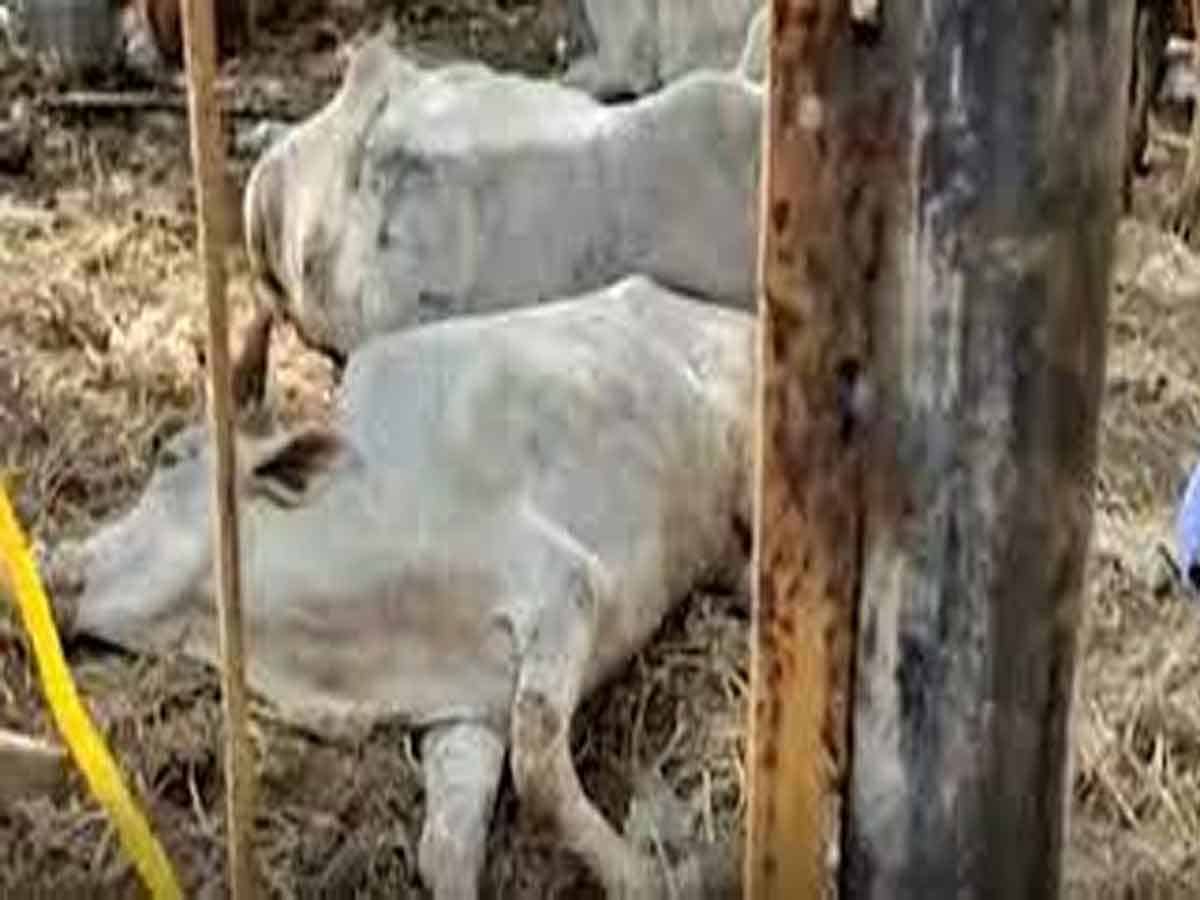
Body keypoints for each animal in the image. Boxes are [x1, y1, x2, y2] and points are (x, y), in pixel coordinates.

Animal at [39, 275, 757, 900]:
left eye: (168, 457)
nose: (53, 563)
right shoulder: (465, 715)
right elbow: (445, 851)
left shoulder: (565, 583)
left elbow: (537, 767)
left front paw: (664, 876)